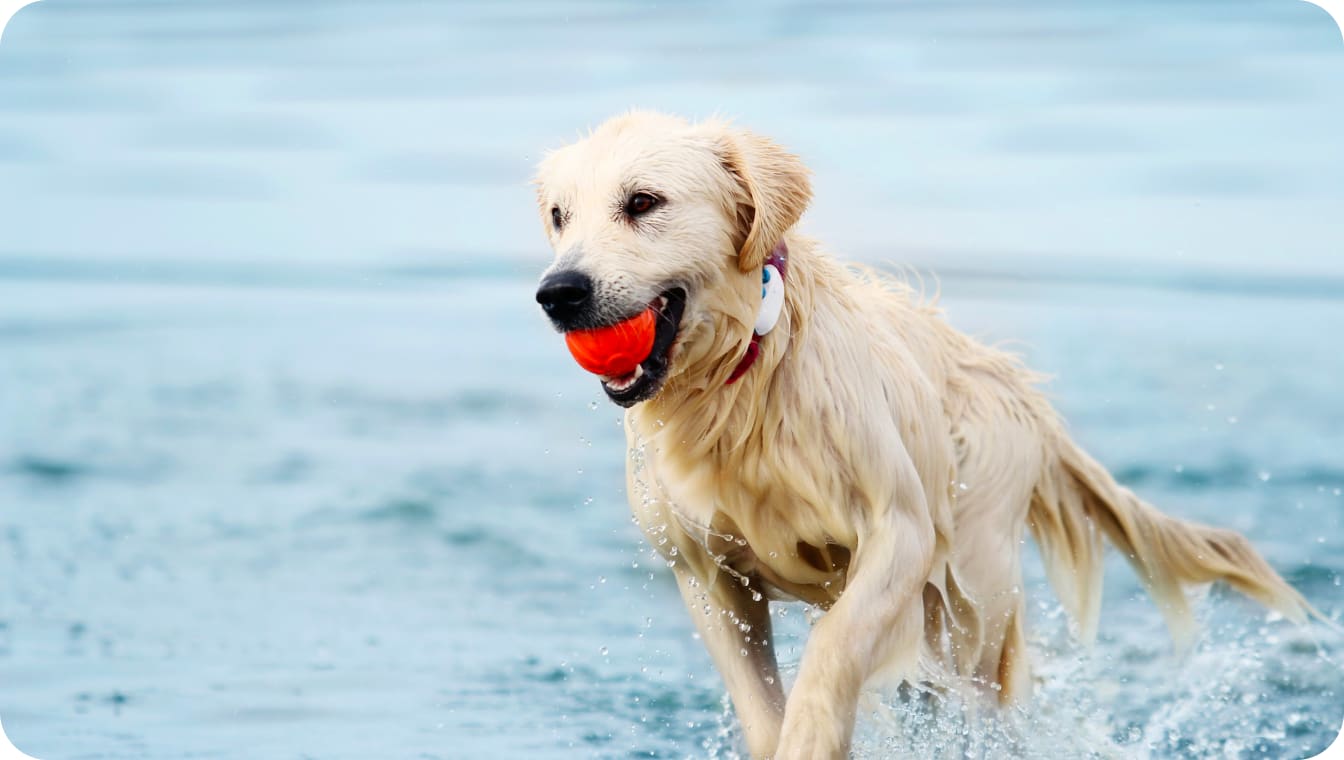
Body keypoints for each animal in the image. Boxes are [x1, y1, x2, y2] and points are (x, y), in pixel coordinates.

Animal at [526, 112, 1311, 758]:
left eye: (643, 202)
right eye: (561, 216)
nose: (558, 293)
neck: (746, 379)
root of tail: (1016, 385)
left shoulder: (899, 529)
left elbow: (836, 644)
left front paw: (813, 733)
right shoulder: (705, 571)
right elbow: (758, 701)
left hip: (974, 584)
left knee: (984, 696)